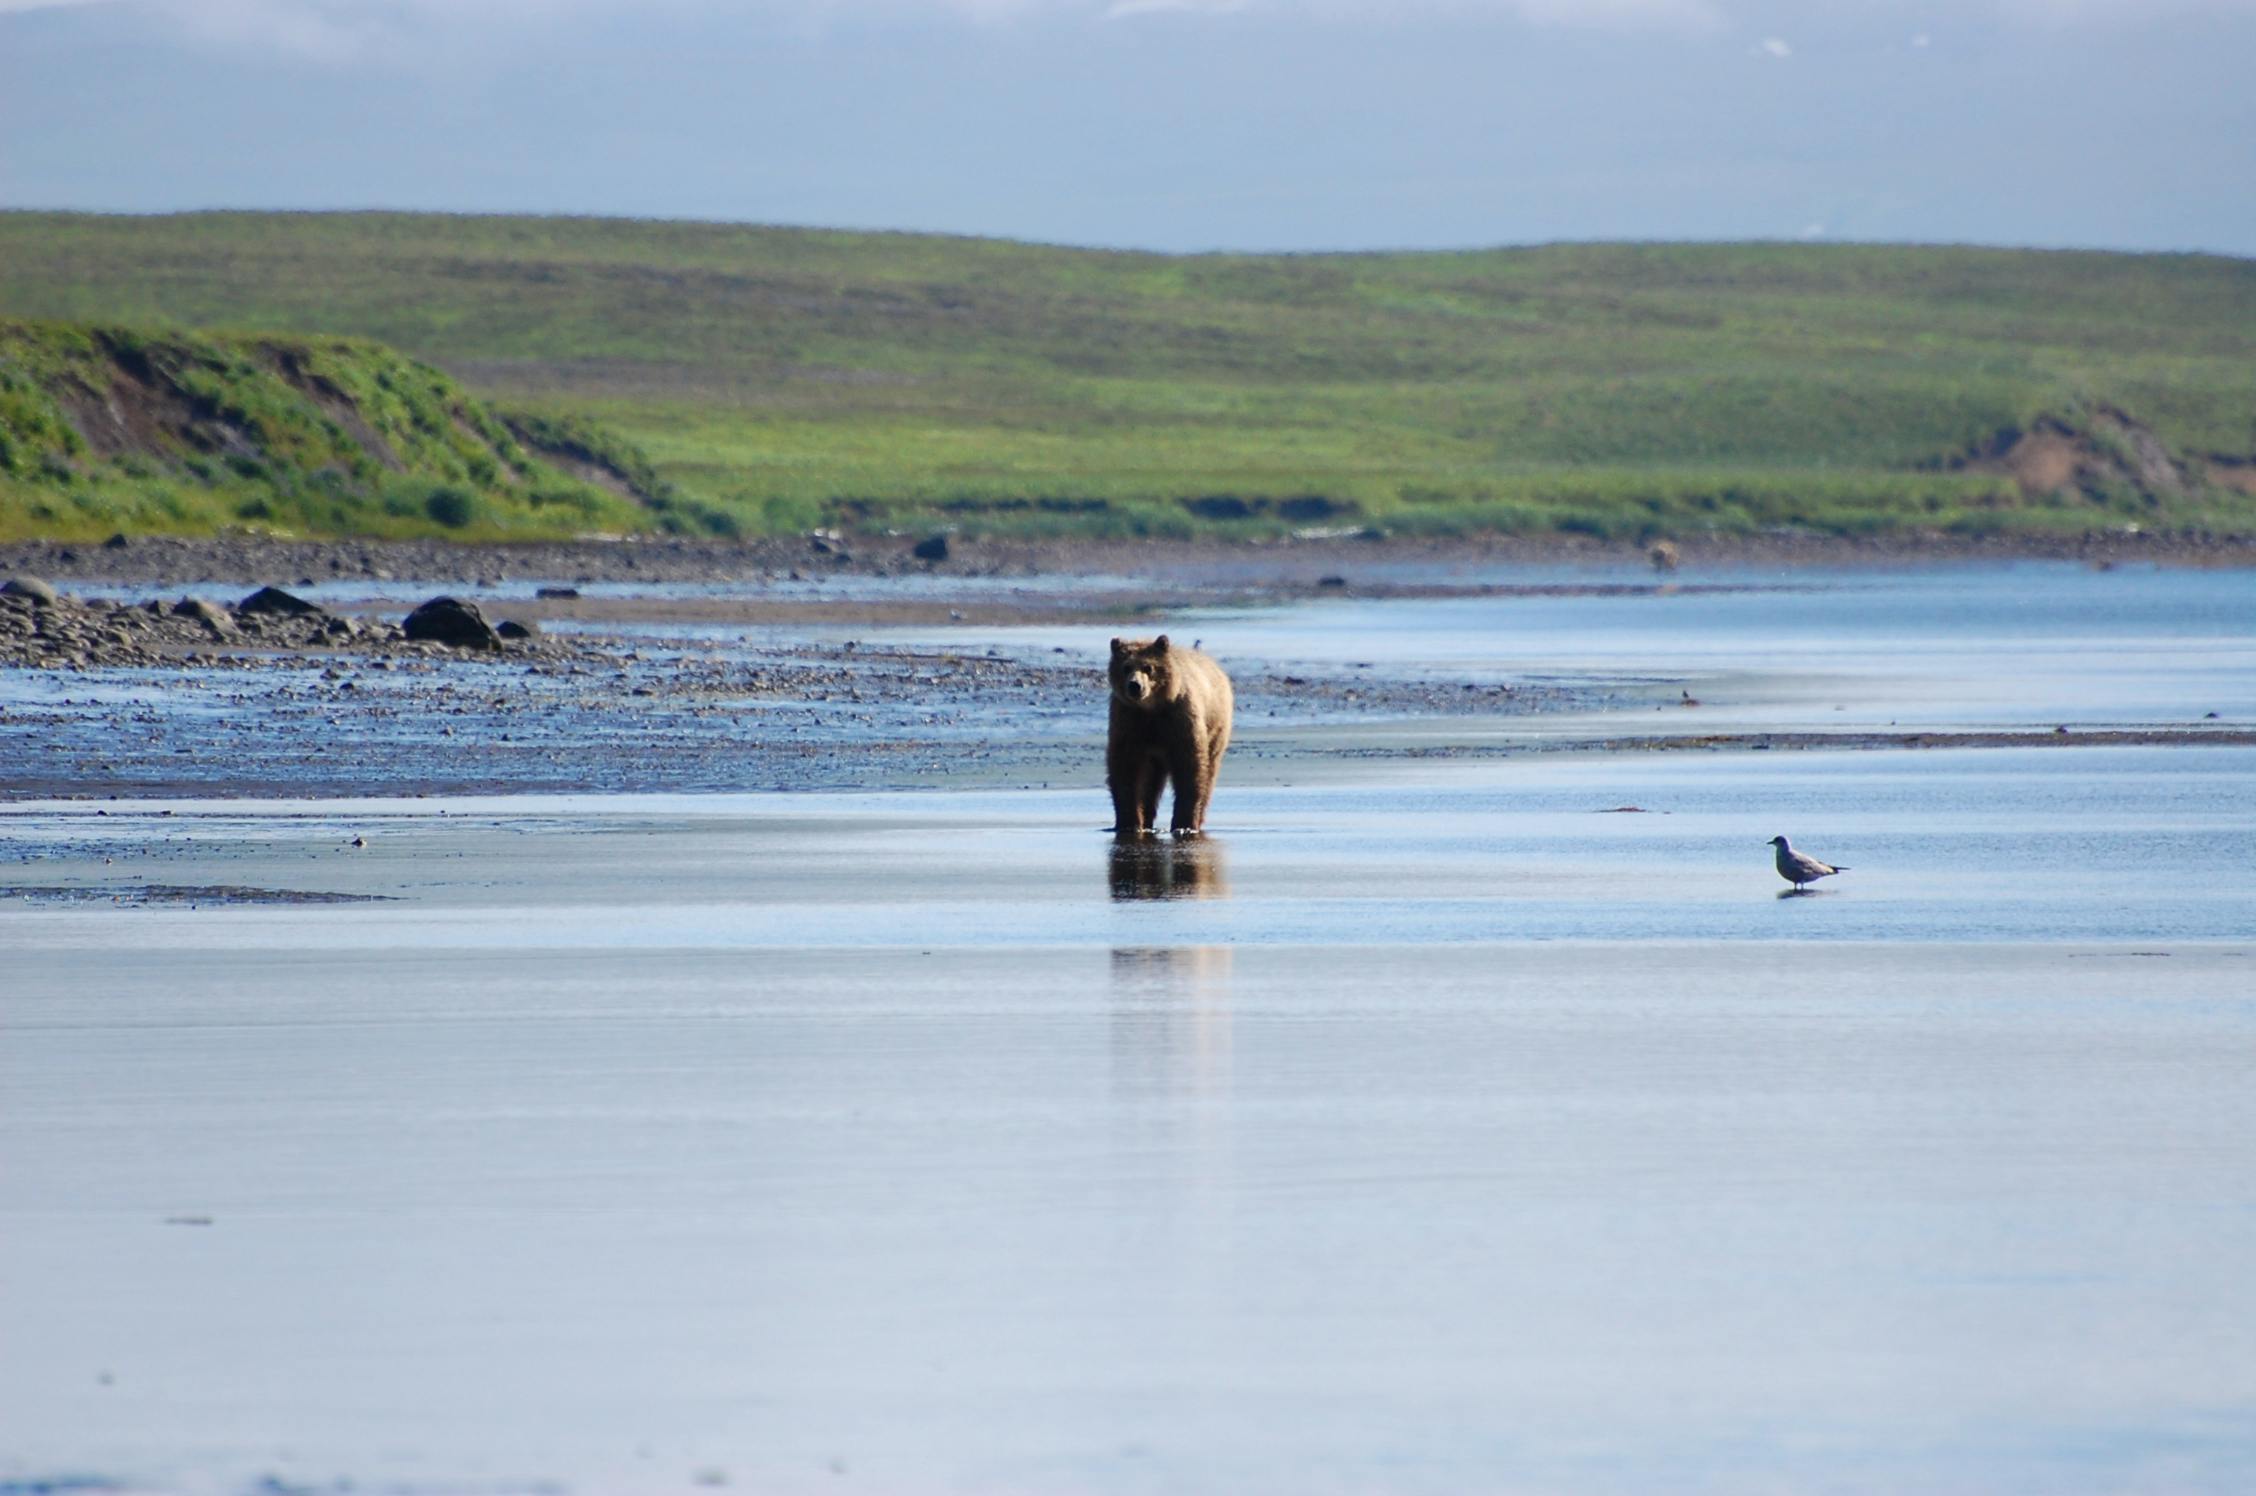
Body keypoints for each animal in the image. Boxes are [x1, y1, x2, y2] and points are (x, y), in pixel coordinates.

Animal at [1107, 634, 1234, 837]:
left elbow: (1190, 768)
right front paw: (1128, 823)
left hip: (1216, 729)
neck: (1151, 709)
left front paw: (1184, 824)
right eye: (1126, 667)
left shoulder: (1179, 720)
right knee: (1151, 782)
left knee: (1209, 771)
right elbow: (1125, 769)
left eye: (1148, 667)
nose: (1135, 686)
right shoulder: (1128, 721)